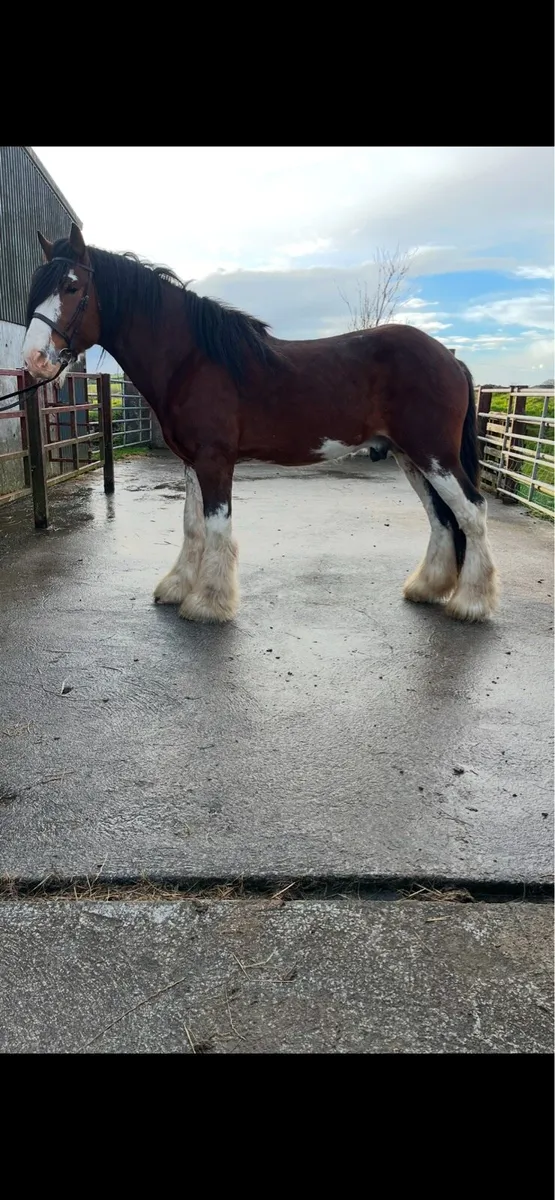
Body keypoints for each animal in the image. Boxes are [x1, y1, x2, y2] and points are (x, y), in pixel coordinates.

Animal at [23, 223, 498, 625]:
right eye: (36, 288)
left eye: (72, 286)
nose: (34, 360)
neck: (193, 361)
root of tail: (450, 359)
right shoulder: (192, 463)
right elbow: (192, 525)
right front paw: (177, 588)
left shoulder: (215, 461)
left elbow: (217, 527)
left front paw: (208, 604)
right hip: (411, 456)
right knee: (441, 517)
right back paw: (427, 587)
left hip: (433, 454)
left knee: (471, 511)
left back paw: (471, 602)